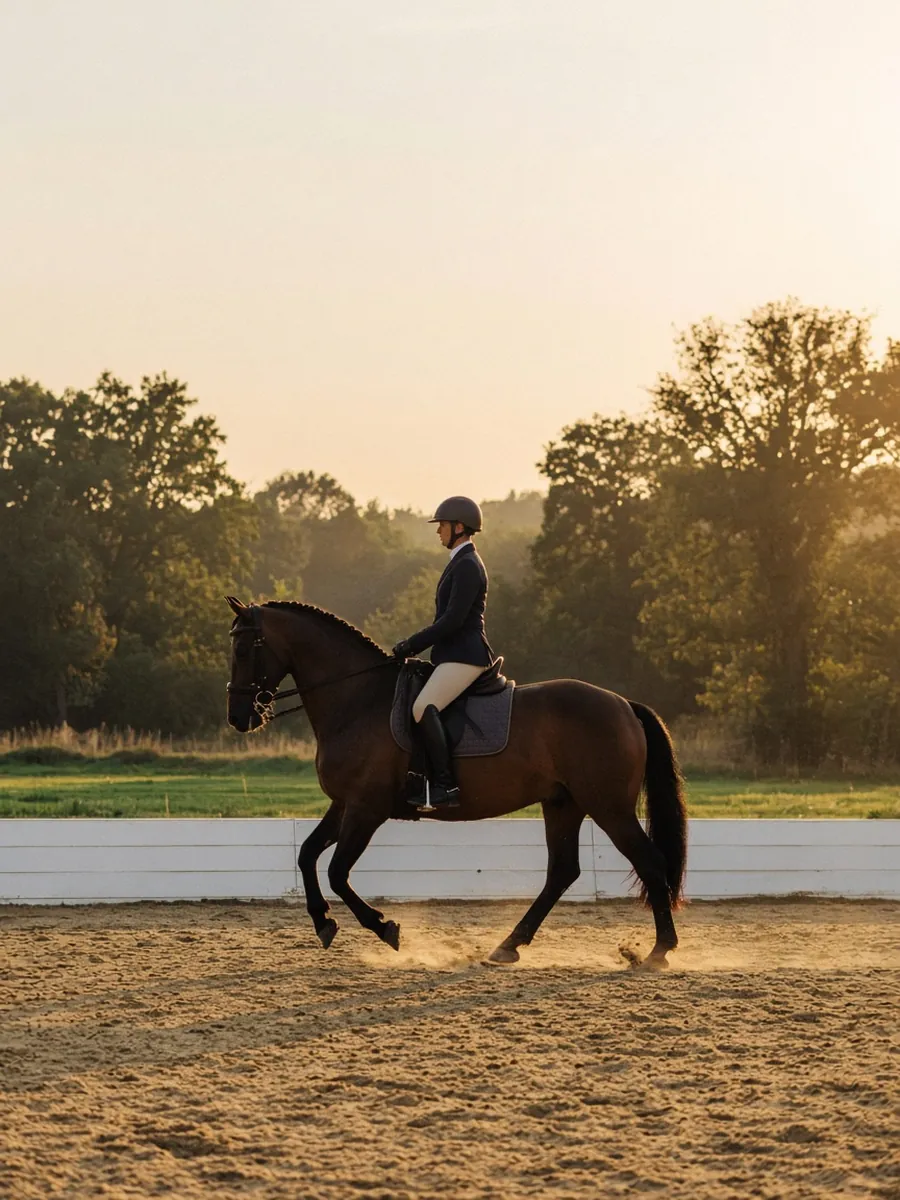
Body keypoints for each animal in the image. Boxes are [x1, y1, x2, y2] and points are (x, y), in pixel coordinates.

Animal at [225, 596, 687, 968]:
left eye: (244, 649)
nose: (239, 718)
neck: (358, 701)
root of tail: (623, 704)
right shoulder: (345, 804)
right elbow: (306, 855)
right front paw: (323, 922)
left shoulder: (366, 809)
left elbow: (338, 872)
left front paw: (385, 928)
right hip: (563, 804)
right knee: (562, 872)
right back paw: (508, 946)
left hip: (608, 807)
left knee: (649, 862)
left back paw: (659, 951)